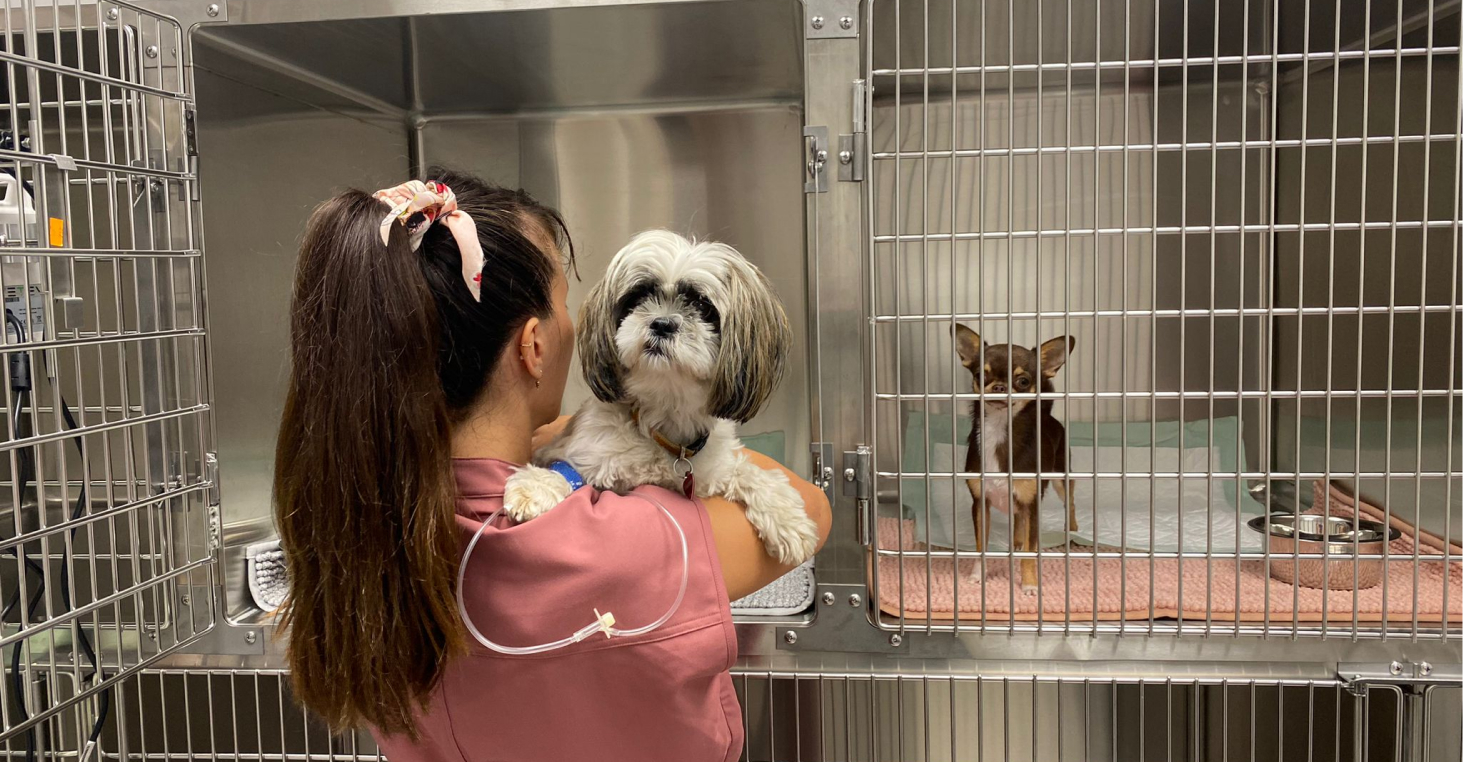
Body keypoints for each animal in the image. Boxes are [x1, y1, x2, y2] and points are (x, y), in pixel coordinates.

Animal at [500, 228, 825, 561]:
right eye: (639, 297)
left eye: (703, 306)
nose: (662, 323)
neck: (665, 419)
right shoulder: (583, 454)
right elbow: (568, 471)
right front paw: (537, 485)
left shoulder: (713, 470)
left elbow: (748, 471)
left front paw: (787, 519)